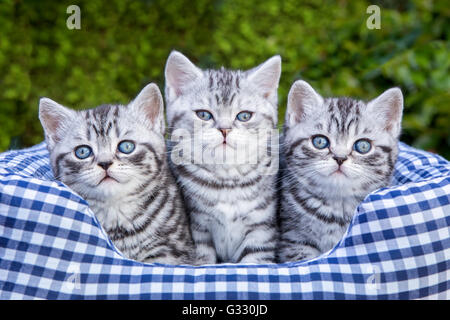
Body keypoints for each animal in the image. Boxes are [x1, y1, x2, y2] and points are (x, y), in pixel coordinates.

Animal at [163, 51, 280, 264]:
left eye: (244, 116)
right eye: (203, 114)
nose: (224, 129)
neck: (227, 181)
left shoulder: (262, 230)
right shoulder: (198, 229)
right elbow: (203, 260)